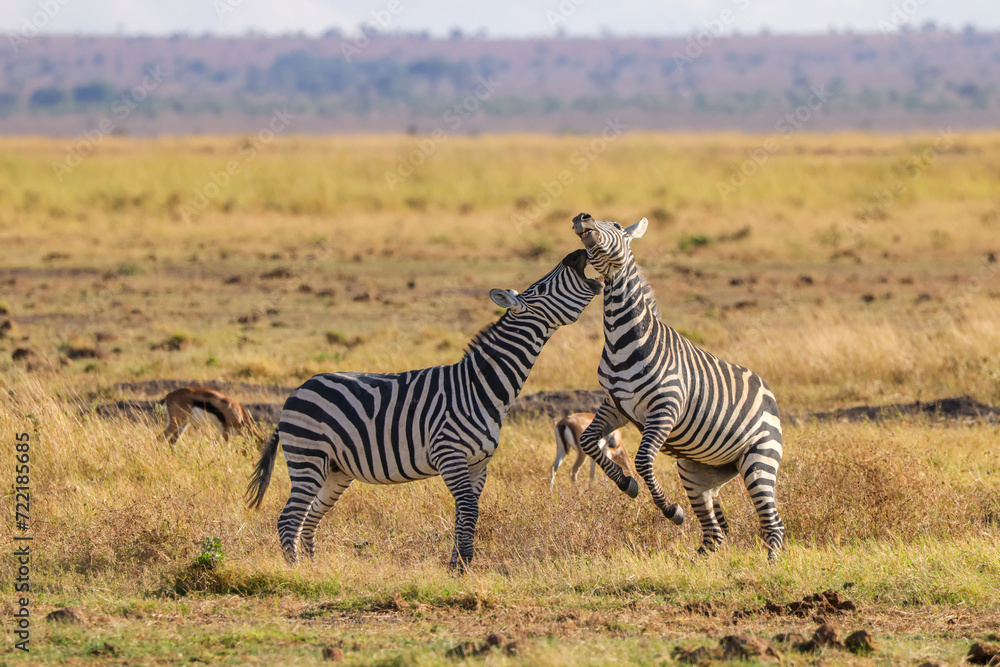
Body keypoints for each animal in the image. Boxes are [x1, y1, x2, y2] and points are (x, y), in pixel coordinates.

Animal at [246, 250, 603, 569]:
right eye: (541, 288)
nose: (576, 253)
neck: (479, 387)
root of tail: (295, 393)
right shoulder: (450, 455)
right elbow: (468, 511)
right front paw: (462, 566)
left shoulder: (478, 464)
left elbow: (466, 513)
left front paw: (458, 564)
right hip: (308, 458)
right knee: (289, 519)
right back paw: (297, 573)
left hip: (336, 469)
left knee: (309, 518)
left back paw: (313, 569)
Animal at [571, 212, 786, 560]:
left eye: (616, 227)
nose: (583, 217)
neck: (620, 339)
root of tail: (767, 390)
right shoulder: (615, 406)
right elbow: (589, 441)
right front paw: (626, 485)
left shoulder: (665, 408)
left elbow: (643, 460)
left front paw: (671, 510)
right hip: (697, 472)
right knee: (714, 531)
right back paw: (699, 564)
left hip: (759, 460)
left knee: (772, 522)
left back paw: (771, 565)